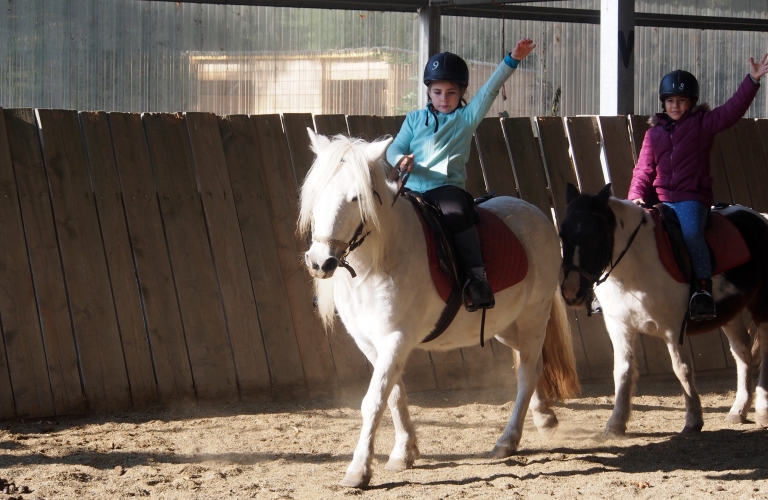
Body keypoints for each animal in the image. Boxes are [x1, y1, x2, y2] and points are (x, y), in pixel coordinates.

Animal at [296, 132, 580, 488]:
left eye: (356, 197)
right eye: (316, 193)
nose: (320, 262)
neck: (378, 262)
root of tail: (536, 213)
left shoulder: (396, 339)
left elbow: (374, 400)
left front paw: (359, 470)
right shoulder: (370, 343)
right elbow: (394, 394)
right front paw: (404, 452)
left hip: (532, 316)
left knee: (528, 370)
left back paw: (508, 440)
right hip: (506, 325)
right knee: (531, 363)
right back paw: (543, 417)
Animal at [560, 183, 768, 434]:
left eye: (597, 235)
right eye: (561, 234)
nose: (571, 292)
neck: (634, 267)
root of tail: (759, 217)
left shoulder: (673, 328)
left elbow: (682, 369)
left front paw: (693, 420)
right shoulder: (619, 326)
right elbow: (622, 371)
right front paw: (615, 424)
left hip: (761, 302)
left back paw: (763, 409)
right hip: (729, 311)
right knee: (741, 350)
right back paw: (739, 410)